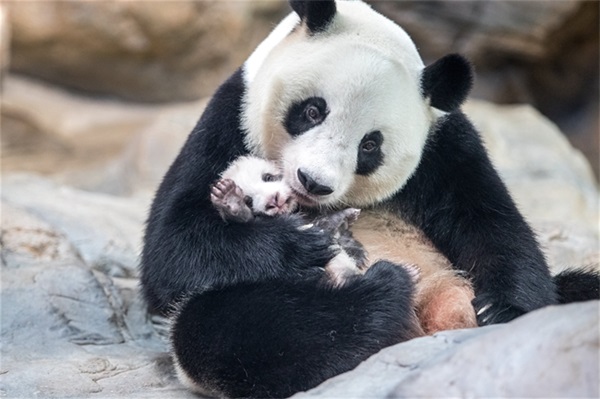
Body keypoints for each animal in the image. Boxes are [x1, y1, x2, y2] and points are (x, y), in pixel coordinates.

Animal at [142, 1, 600, 398]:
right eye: (312, 111)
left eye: (370, 145)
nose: (313, 182)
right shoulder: (229, 119)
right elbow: (171, 252)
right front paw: (299, 241)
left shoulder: (445, 146)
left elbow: (492, 223)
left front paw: (501, 310)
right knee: (236, 326)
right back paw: (382, 294)